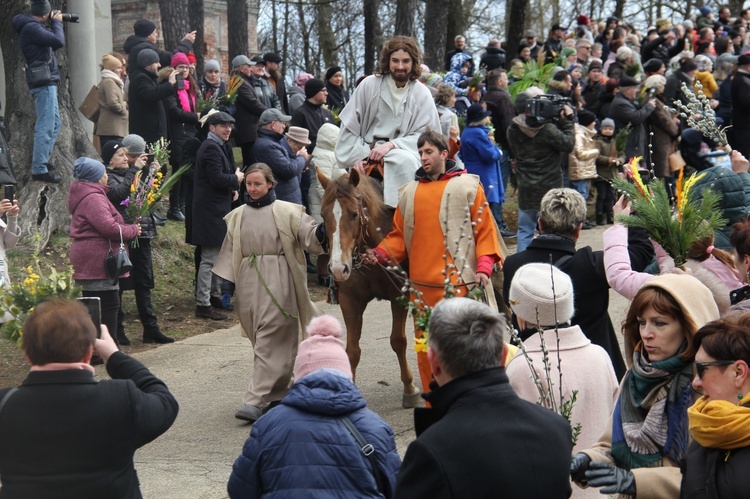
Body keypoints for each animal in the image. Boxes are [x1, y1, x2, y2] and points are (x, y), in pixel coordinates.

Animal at [318, 170, 424, 408]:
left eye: (354, 214)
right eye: (323, 215)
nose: (337, 268)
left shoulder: (399, 294)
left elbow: (398, 340)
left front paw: (410, 388)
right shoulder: (350, 300)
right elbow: (352, 350)